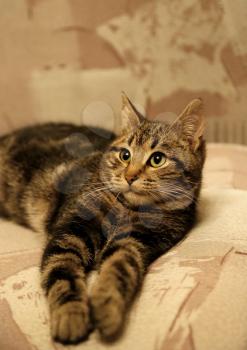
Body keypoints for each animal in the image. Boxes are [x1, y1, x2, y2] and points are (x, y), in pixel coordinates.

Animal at [0, 91, 206, 344]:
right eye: (125, 155)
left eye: (157, 159)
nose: (130, 177)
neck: (128, 209)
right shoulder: (71, 230)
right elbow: (62, 272)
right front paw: (70, 315)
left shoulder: (137, 240)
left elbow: (119, 266)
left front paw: (106, 305)